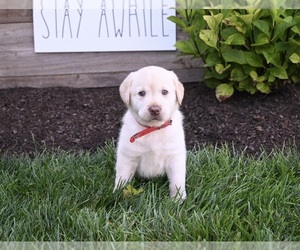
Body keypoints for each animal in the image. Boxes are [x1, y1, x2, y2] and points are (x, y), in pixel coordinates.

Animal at [113, 66, 186, 199]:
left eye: (164, 92)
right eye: (141, 93)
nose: (155, 109)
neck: (153, 129)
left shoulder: (175, 157)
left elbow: (177, 182)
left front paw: (178, 200)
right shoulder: (128, 157)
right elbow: (122, 178)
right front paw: (117, 195)